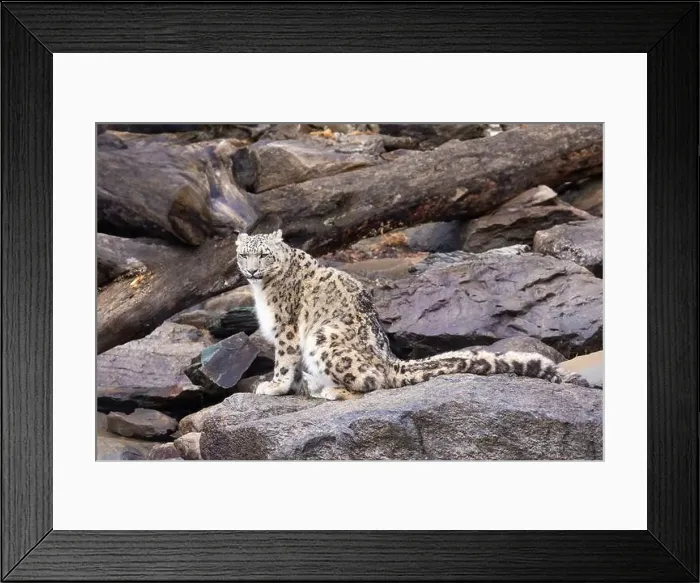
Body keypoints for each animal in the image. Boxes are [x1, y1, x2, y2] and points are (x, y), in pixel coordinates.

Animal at [236, 230, 595, 401]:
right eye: (243, 255)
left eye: (264, 255)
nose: (251, 270)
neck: (262, 291)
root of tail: (389, 360)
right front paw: (291, 386)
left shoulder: (286, 327)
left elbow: (284, 360)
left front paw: (274, 386)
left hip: (324, 335)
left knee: (373, 381)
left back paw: (330, 390)